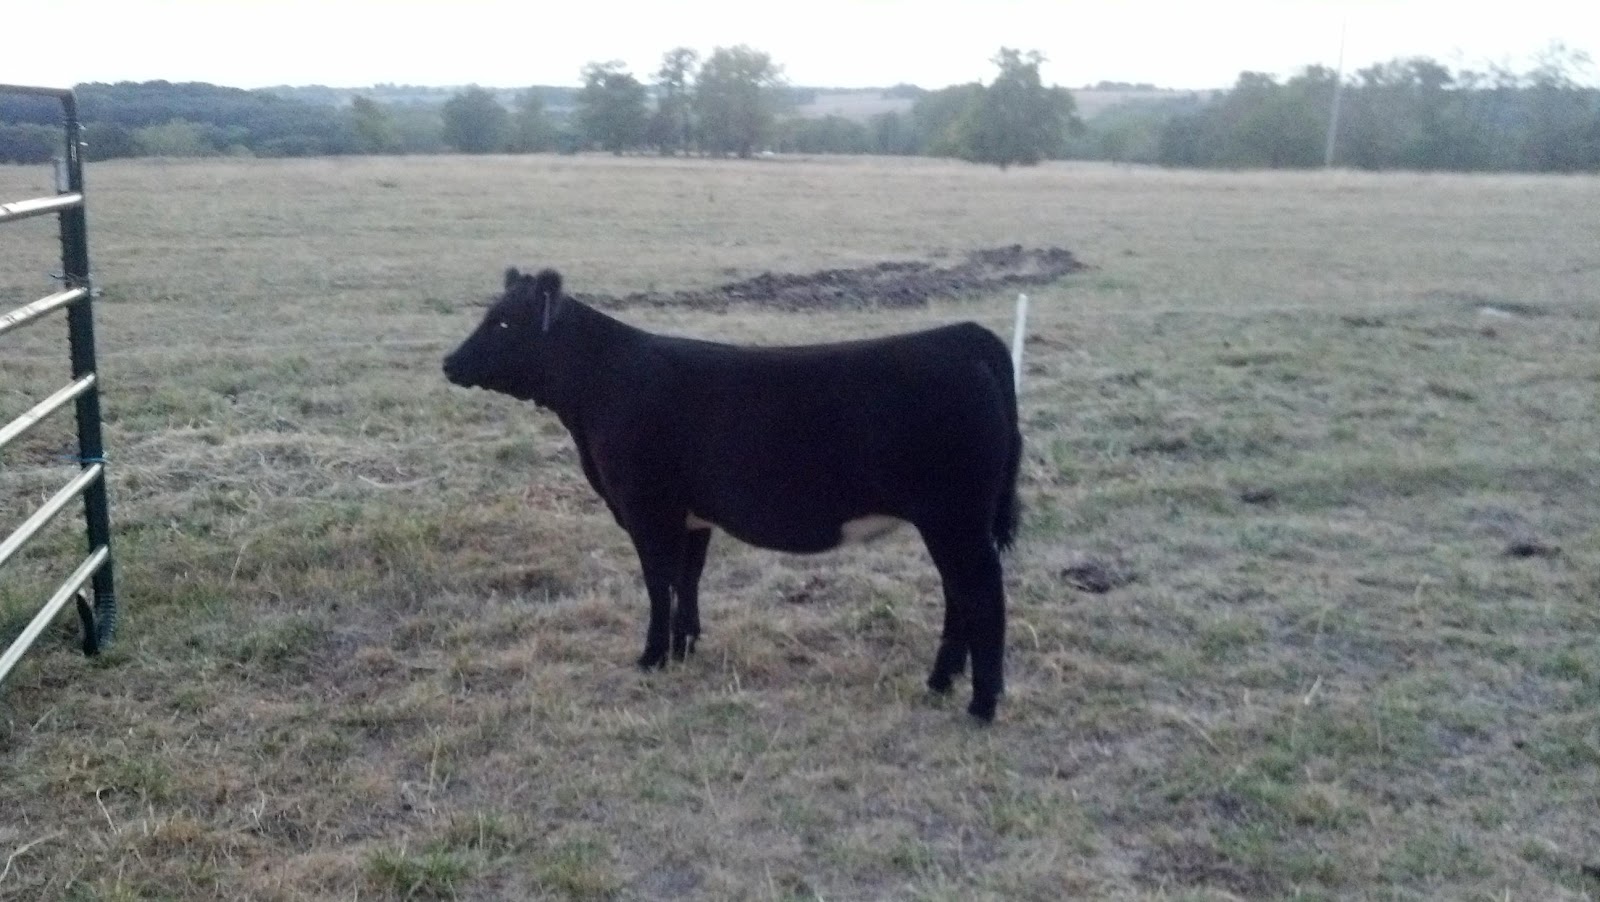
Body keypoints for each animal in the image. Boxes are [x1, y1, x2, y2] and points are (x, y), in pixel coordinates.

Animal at [443, 267, 1022, 721]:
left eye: (501, 321)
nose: (448, 362)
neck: (603, 384)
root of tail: (963, 337)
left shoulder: (647, 507)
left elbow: (658, 582)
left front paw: (652, 656)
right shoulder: (691, 515)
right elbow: (687, 579)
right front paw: (685, 646)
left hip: (955, 520)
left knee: (981, 594)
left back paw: (981, 703)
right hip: (950, 523)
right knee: (958, 594)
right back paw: (940, 682)